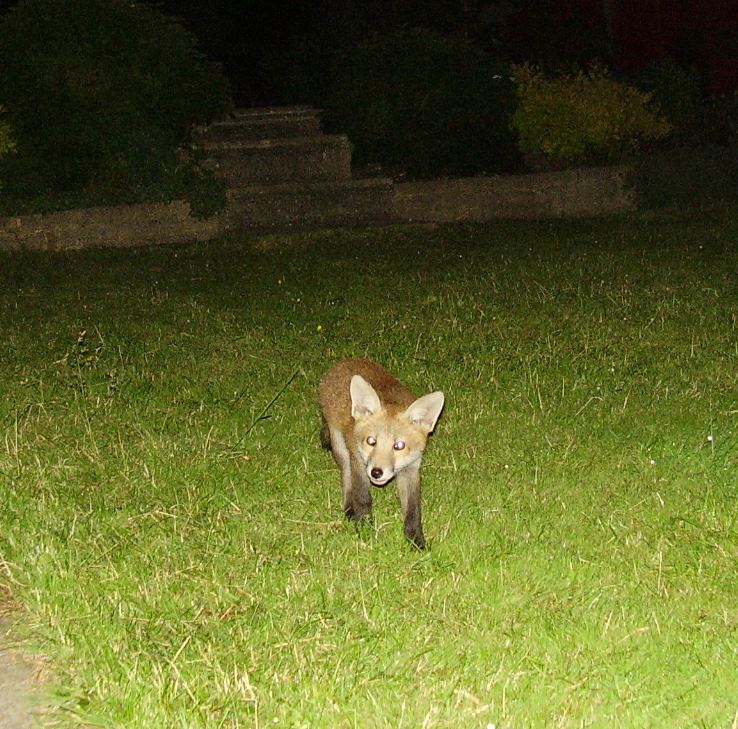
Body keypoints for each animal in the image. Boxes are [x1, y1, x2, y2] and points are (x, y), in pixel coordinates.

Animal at [318, 356, 442, 548]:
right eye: (371, 441)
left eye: (399, 445)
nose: (376, 472)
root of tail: (345, 360)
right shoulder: (359, 461)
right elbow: (363, 498)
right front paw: (364, 530)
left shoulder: (412, 468)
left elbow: (413, 511)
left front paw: (416, 541)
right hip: (341, 447)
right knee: (346, 475)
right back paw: (349, 509)